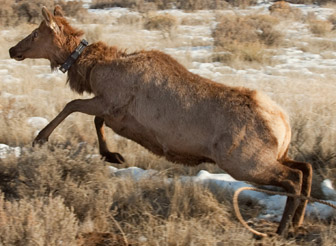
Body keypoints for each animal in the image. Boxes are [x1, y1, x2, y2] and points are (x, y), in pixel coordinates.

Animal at [8, 5, 312, 236]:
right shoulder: (112, 111)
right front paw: (112, 155)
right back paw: (296, 224)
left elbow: (72, 106)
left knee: (293, 177)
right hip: (273, 154)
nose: (12, 50)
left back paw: (282, 230)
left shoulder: (109, 101)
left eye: (35, 33)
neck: (92, 69)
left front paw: (41, 138)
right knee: (305, 167)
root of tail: (284, 124)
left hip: (243, 161)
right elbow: (95, 122)